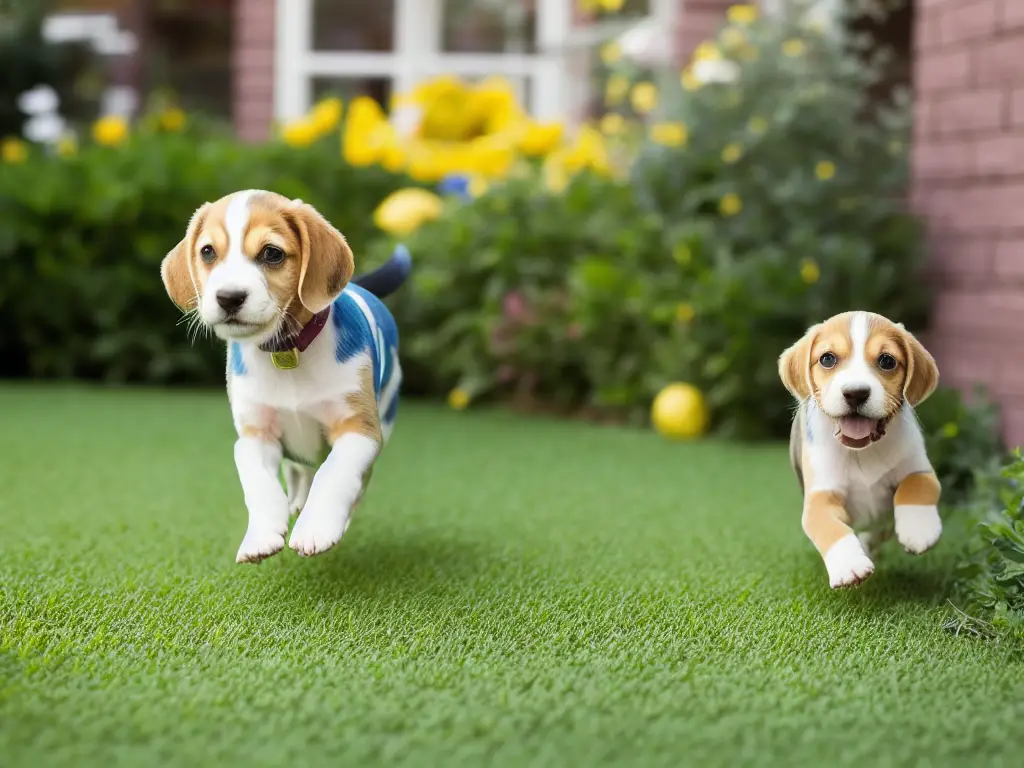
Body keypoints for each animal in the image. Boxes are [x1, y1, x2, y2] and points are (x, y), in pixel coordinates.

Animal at [159, 191, 407, 565]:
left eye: (272, 253)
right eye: (208, 252)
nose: (228, 297)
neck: (285, 354)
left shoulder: (359, 429)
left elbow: (334, 474)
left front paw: (317, 528)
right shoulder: (255, 436)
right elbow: (259, 485)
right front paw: (261, 536)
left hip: (385, 418)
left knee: (351, 479)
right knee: (299, 470)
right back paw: (296, 503)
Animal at [778, 311, 937, 589]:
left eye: (887, 361)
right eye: (827, 359)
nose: (855, 393)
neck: (861, 452)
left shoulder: (919, 467)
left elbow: (917, 485)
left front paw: (919, 530)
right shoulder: (820, 496)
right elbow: (829, 526)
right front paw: (848, 565)